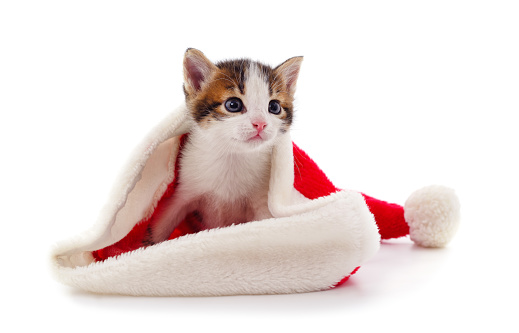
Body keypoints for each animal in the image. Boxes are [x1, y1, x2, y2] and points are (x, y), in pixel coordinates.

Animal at [144, 49, 302, 245]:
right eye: (233, 104)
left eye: (274, 107)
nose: (260, 124)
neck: (232, 156)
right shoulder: (184, 190)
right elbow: (163, 222)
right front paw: (148, 244)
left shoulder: (262, 202)